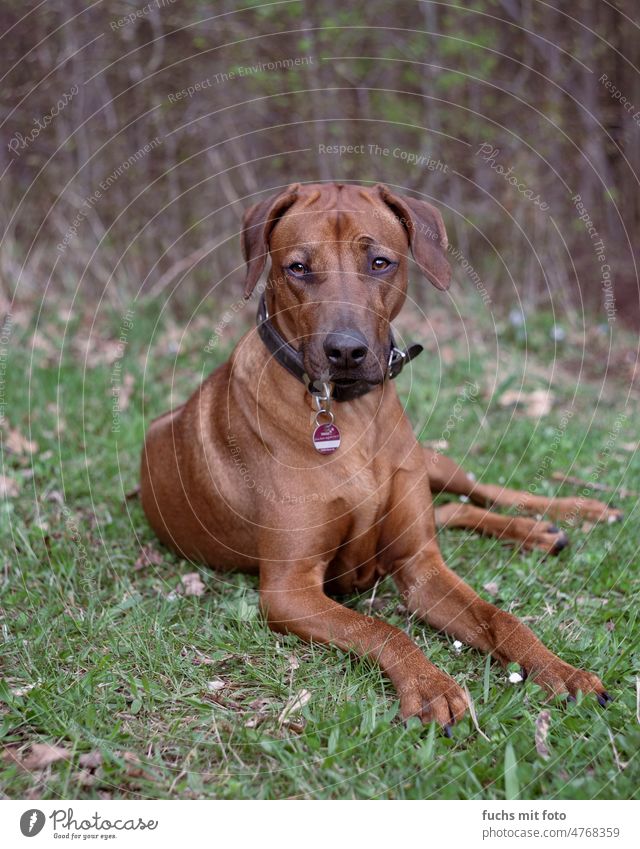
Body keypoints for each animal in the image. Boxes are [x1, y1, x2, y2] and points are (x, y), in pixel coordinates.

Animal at [140, 182, 616, 732]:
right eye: (297, 267)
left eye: (380, 262)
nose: (346, 351)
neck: (350, 412)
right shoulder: (288, 591)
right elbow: (381, 629)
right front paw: (431, 686)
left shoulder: (419, 563)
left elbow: (502, 616)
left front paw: (561, 670)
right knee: (452, 510)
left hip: (430, 461)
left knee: (479, 491)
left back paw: (569, 514)